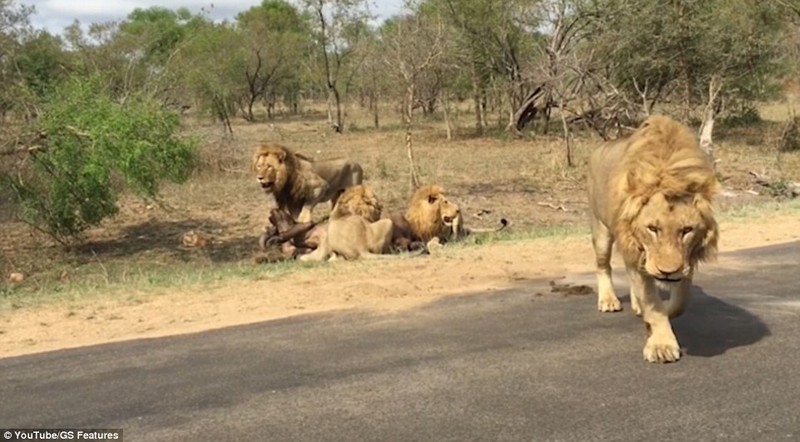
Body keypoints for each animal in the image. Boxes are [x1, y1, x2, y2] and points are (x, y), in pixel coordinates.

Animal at [584, 113, 720, 362]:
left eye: (687, 230)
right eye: (652, 229)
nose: (667, 271)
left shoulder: (687, 259)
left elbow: (679, 302)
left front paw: (657, 315)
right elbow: (653, 304)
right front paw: (661, 345)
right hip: (601, 230)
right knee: (603, 265)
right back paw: (608, 300)